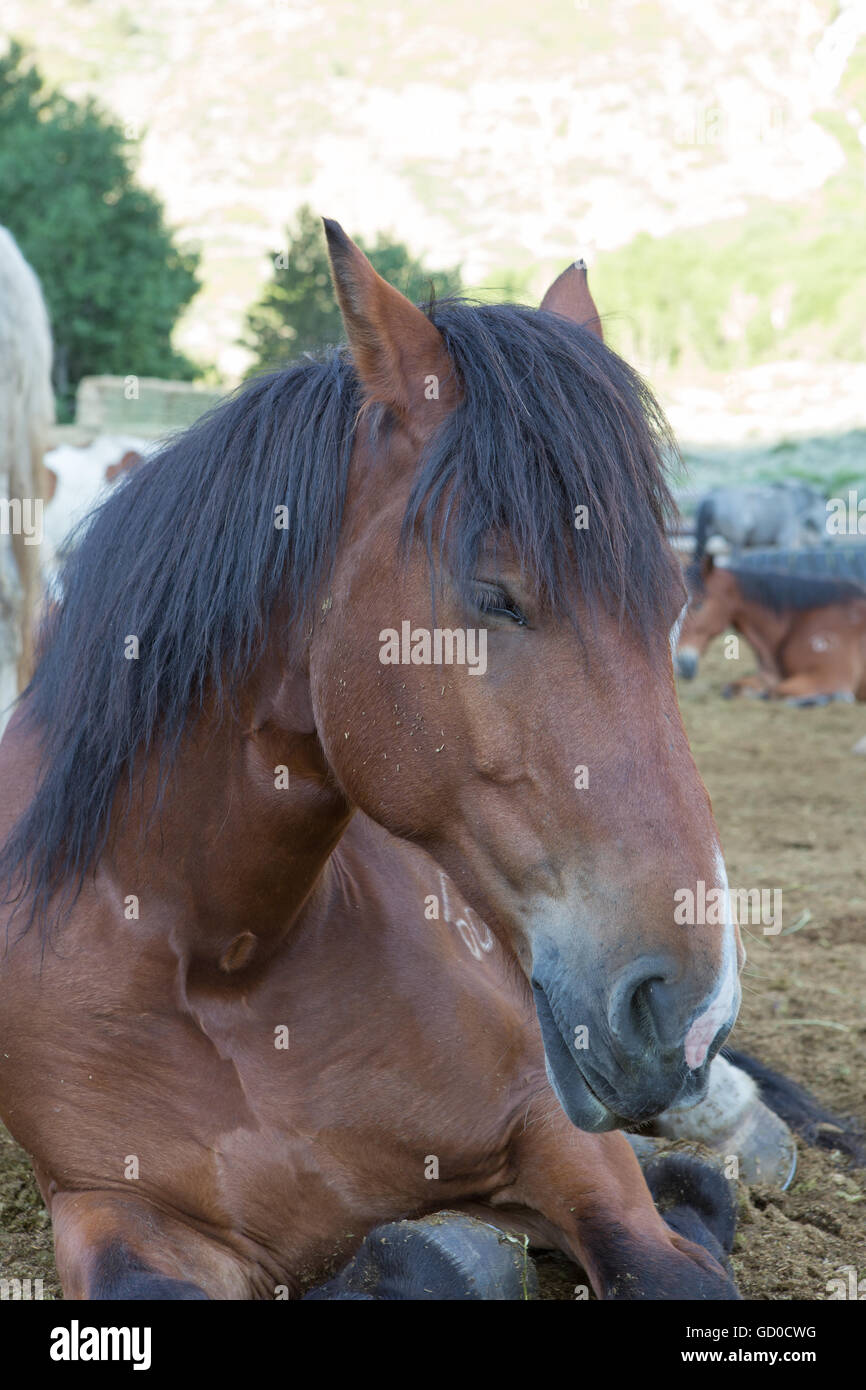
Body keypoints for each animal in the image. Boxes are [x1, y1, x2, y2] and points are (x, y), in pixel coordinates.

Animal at [678, 553, 866, 706]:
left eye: (699, 605)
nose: (681, 664)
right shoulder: (769, 677)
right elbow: (732, 688)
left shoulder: (829, 678)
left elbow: (773, 693)